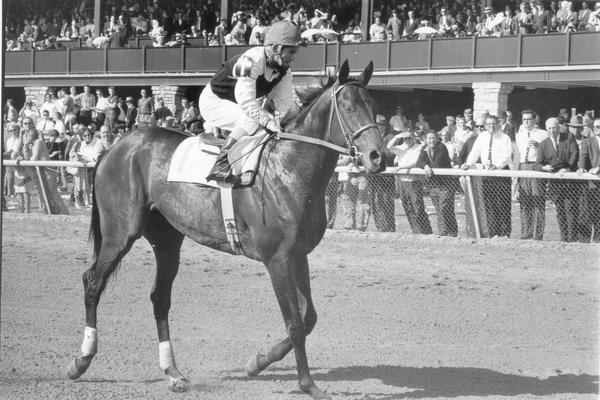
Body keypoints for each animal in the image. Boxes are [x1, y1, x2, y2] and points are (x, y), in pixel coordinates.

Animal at [64, 60, 384, 400]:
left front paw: (257, 362)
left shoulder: (298, 256)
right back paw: (81, 360)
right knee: (93, 282)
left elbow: (308, 317)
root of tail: (115, 147)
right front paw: (307, 384)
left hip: (167, 240)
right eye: (348, 107)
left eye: (374, 106)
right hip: (120, 232)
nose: (379, 156)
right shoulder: (277, 260)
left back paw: (173, 372)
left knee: (160, 298)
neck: (288, 169)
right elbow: (296, 323)